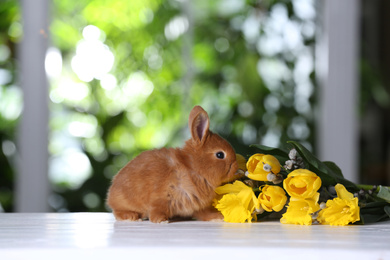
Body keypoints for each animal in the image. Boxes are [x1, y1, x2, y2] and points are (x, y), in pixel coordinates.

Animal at [107, 105, 241, 223]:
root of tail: (110, 194)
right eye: (220, 155)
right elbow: (156, 210)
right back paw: (131, 217)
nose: (236, 166)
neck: (193, 168)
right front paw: (161, 221)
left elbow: (205, 214)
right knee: (118, 212)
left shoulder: (198, 206)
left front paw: (218, 217)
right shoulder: (161, 197)